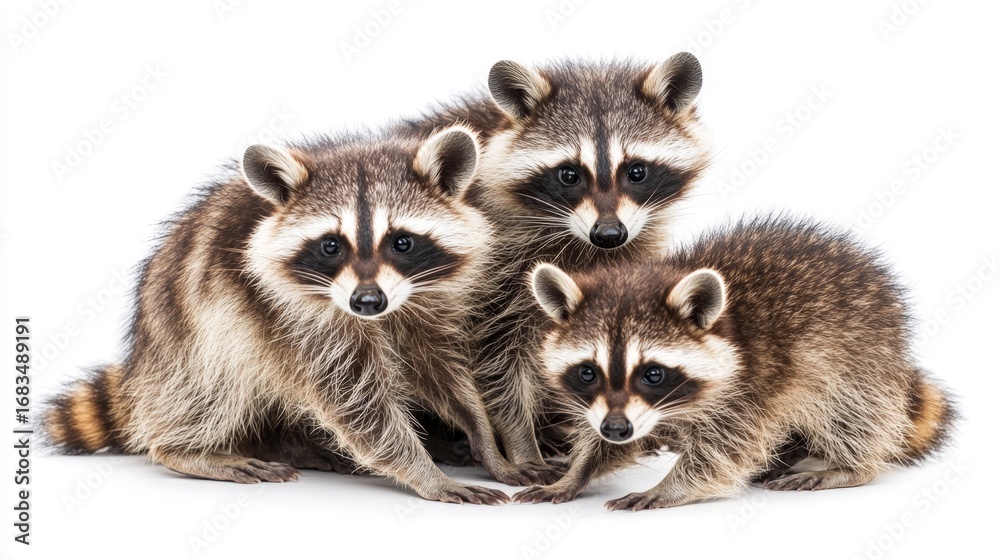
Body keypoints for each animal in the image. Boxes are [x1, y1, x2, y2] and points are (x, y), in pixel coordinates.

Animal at [42, 126, 551, 503]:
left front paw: (483, 436)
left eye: (402, 242)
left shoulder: (427, 303)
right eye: (330, 246)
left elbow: (442, 371)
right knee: (209, 389)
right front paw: (425, 473)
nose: (367, 302)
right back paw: (184, 448)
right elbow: (356, 402)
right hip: (191, 337)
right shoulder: (291, 317)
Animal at [399, 53, 713, 467]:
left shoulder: (636, 245)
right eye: (568, 174)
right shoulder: (492, 263)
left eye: (637, 171)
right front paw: (521, 440)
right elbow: (495, 355)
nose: (609, 234)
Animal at [515, 217, 957, 510]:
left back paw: (851, 466)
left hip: (856, 360)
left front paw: (668, 487)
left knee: (848, 415)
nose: (616, 428)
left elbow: (723, 450)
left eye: (653, 373)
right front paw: (577, 472)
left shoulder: (751, 385)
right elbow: (606, 442)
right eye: (588, 372)